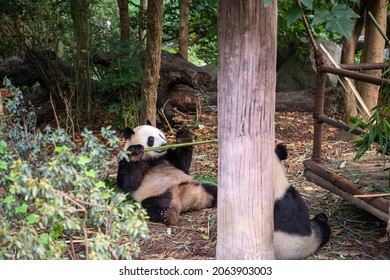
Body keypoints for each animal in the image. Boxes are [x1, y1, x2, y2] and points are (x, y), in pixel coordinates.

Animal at [116, 123, 330, 260]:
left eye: (161, 135)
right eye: (151, 139)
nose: (163, 144)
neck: (154, 159)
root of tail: (185, 202)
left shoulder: (169, 159)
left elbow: (182, 165)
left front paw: (184, 135)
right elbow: (127, 183)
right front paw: (136, 150)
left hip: (200, 186)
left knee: (216, 191)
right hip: (160, 195)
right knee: (150, 206)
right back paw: (166, 214)